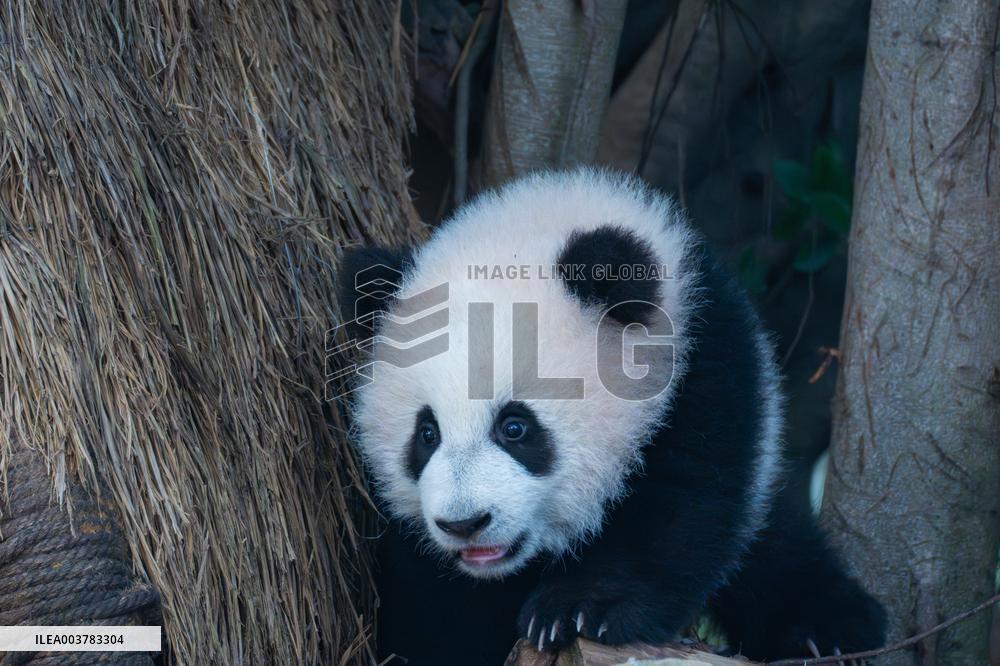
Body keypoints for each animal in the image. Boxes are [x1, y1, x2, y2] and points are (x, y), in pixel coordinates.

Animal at [337, 169, 885, 665]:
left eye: (515, 427)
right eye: (426, 434)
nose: (465, 523)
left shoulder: (707, 368)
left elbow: (684, 501)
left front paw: (578, 609)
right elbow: (436, 604)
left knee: (774, 546)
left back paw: (829, 631)